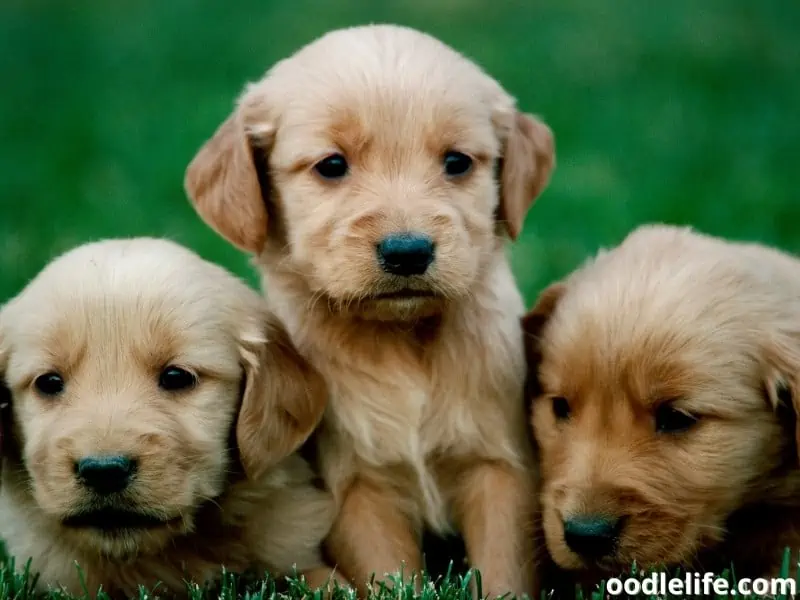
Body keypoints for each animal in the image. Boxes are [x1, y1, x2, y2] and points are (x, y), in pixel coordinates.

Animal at [182, 24, 556, 600]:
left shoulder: (499, 467)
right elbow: (388, 571)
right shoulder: (356, 488)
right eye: (333, 166)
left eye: (457, 162)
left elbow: (503, 570)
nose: (408, 251)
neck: (403, 340)